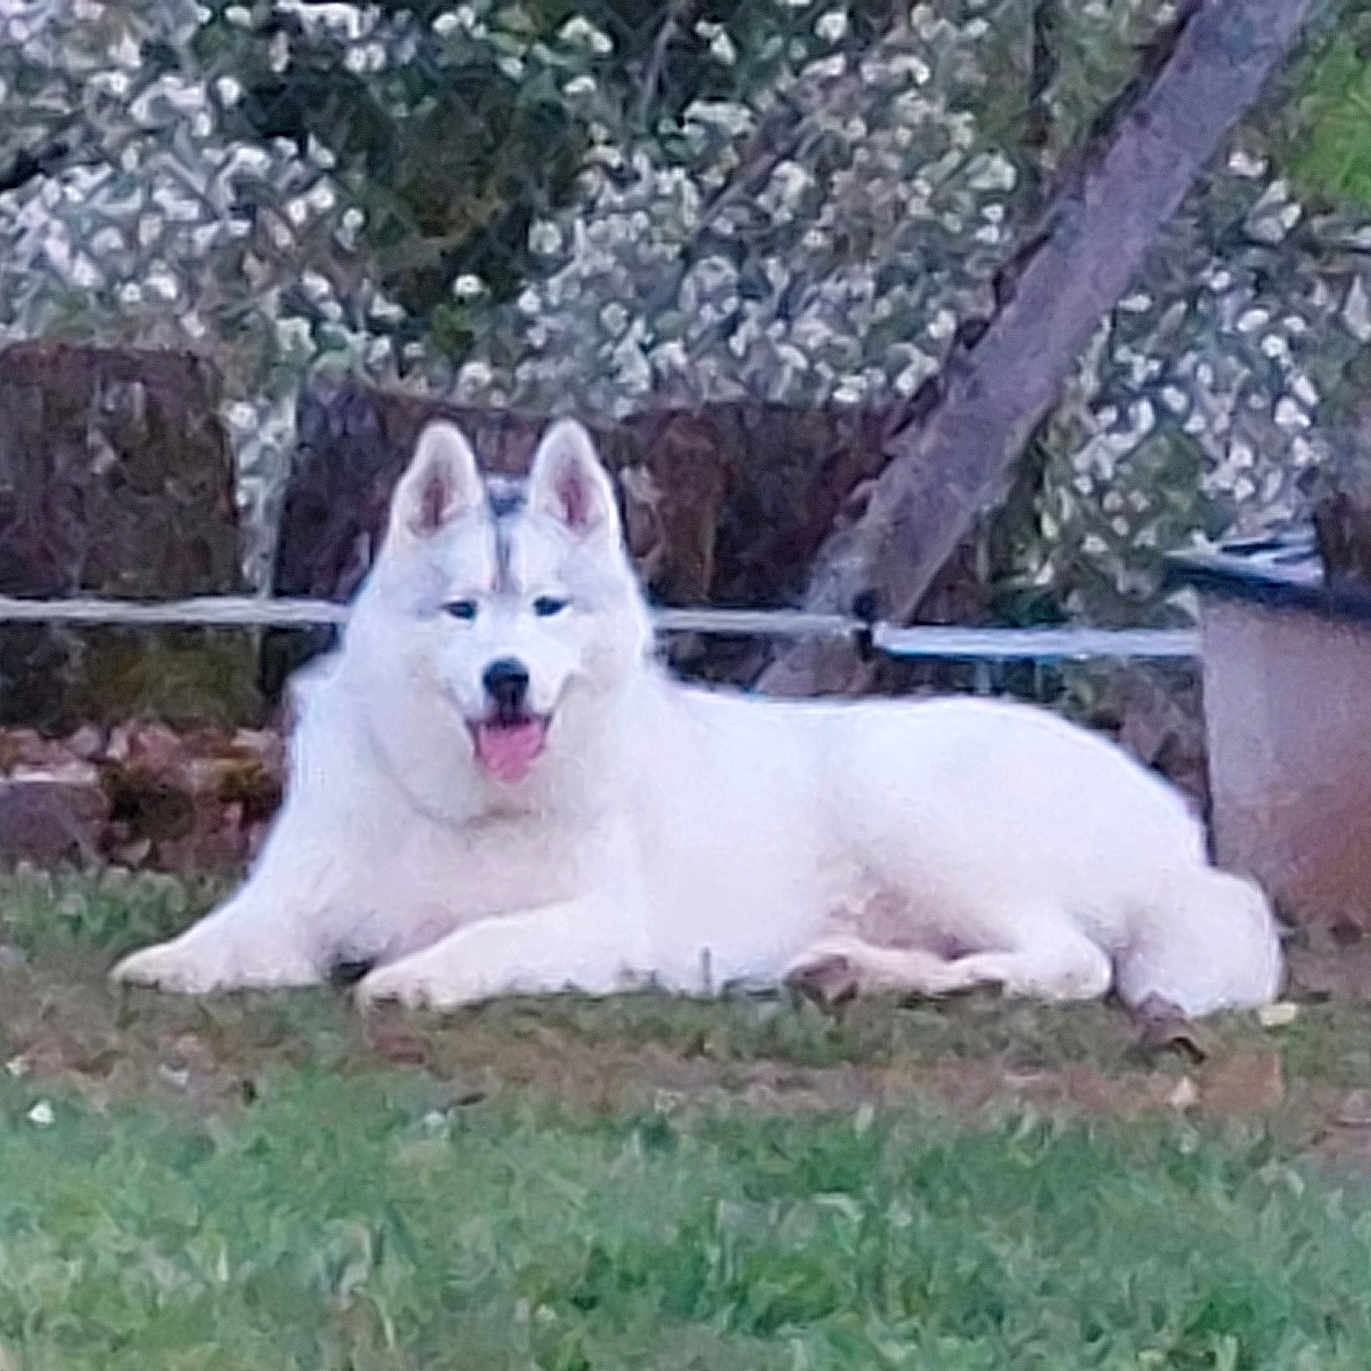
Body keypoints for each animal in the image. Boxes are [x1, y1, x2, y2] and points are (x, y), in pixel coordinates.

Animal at [111, 418, 1282, 1016]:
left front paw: (420, 975)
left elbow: (484, 936)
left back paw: (952, 978)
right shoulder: (295, 904)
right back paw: (851, 967)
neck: (466, 808)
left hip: (915, 808)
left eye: (547, 607)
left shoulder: (600, 923)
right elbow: (232, 935)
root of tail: (1183, 836)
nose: (506, 679)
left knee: (1074, 964)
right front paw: (172, 962)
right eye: (463, 611)